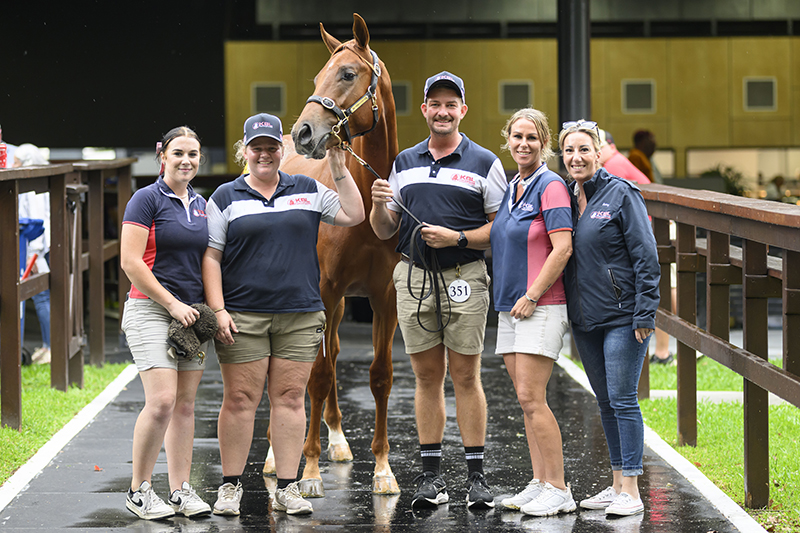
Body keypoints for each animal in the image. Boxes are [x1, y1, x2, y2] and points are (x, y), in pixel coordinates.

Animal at [264, 13, 398, 494]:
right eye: (318, 76)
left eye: (347, 74)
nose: (304, 133)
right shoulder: (325, 289)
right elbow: (316, 377)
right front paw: (308, 470)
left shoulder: (382, 298)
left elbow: (380, 377)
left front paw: (383, 470)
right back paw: (273, 454)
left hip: (338, 306)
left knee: (335, 350)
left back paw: (339, 440)